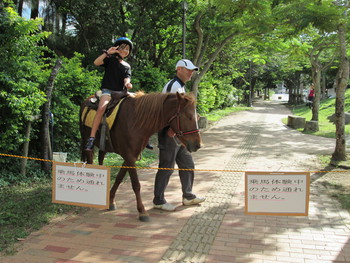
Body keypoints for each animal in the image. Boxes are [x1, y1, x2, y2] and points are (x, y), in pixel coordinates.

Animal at [79, 92, 200, 222]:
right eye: (189, 117)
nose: (197, 144)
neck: (137, 121)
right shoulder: (129, 156)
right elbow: (136, 185)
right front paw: (142, 211)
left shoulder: (130, 156)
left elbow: (119, 178)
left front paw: (111, 200)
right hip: (88, 144)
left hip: (104, 147)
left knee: (101, 159)